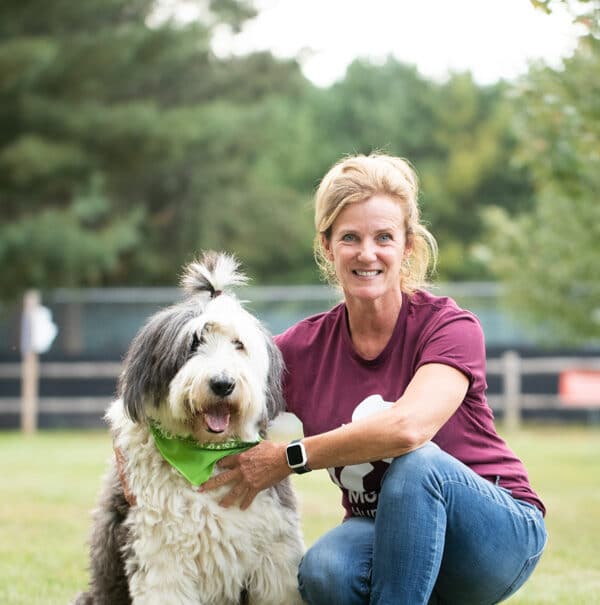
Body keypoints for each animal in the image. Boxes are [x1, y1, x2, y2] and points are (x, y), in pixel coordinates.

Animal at [74, 252, 304, 604]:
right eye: (194, 343)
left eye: (238, 344)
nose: (222, 383)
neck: (205, 456)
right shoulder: (161, 552)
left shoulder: (275, 553)